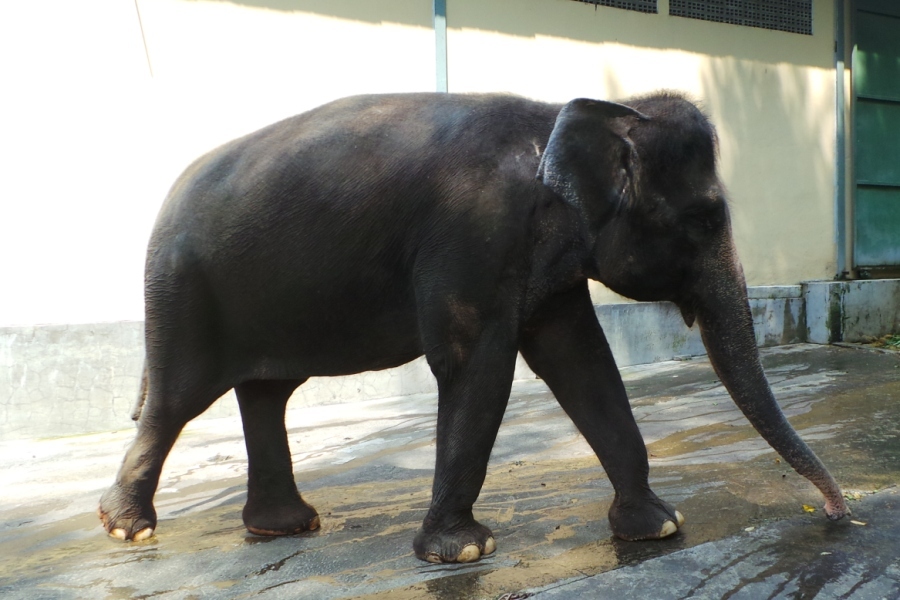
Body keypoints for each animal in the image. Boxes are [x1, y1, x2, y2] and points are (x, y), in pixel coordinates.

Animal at [100, 89, 852, 564]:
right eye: (703, 220)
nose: (838, 514)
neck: (564, 115)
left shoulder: (547, 260)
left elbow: (581, 359)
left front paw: (659, 528)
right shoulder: (472, 237)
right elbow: (478, 364)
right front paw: (463, 551)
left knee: (266, 394)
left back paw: (286, 527)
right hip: (181, 290)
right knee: (177, 399)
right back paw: (126, 530)